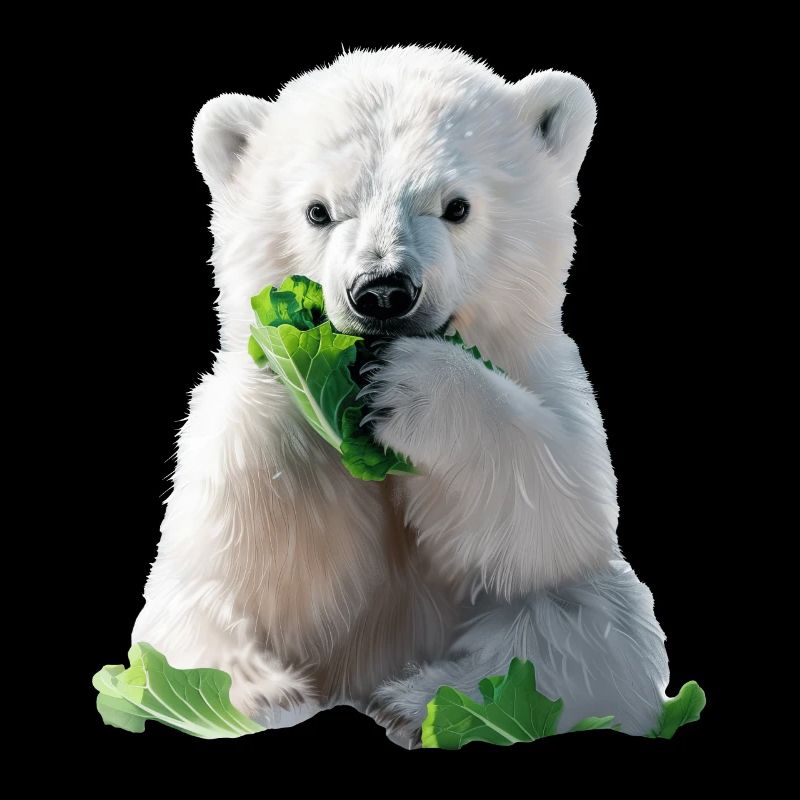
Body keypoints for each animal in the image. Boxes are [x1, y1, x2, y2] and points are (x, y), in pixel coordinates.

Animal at [132, 45, 669, 748]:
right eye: (318, 210)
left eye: (457, 206)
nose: (383, 290)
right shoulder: (231, 456)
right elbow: (241, 549)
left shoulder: (545, 375)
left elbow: (555, 519)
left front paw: (410, 387)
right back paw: (251, 695)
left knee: (594, 630)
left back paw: (425, 700)